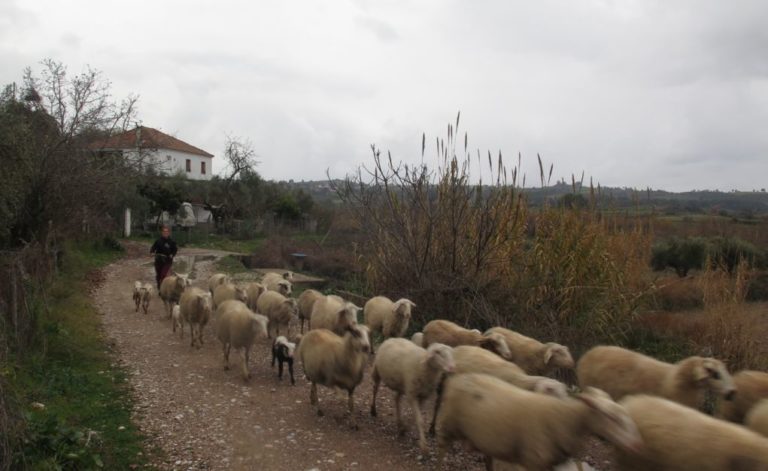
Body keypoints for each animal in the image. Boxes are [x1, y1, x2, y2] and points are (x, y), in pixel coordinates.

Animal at [436, 372, 644, 471]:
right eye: (612, 418)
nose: (636, 445)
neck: (565, 418)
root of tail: (460, 377)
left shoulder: (550, 463)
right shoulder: (532, 460)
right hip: (448, 425)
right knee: (441, 448)